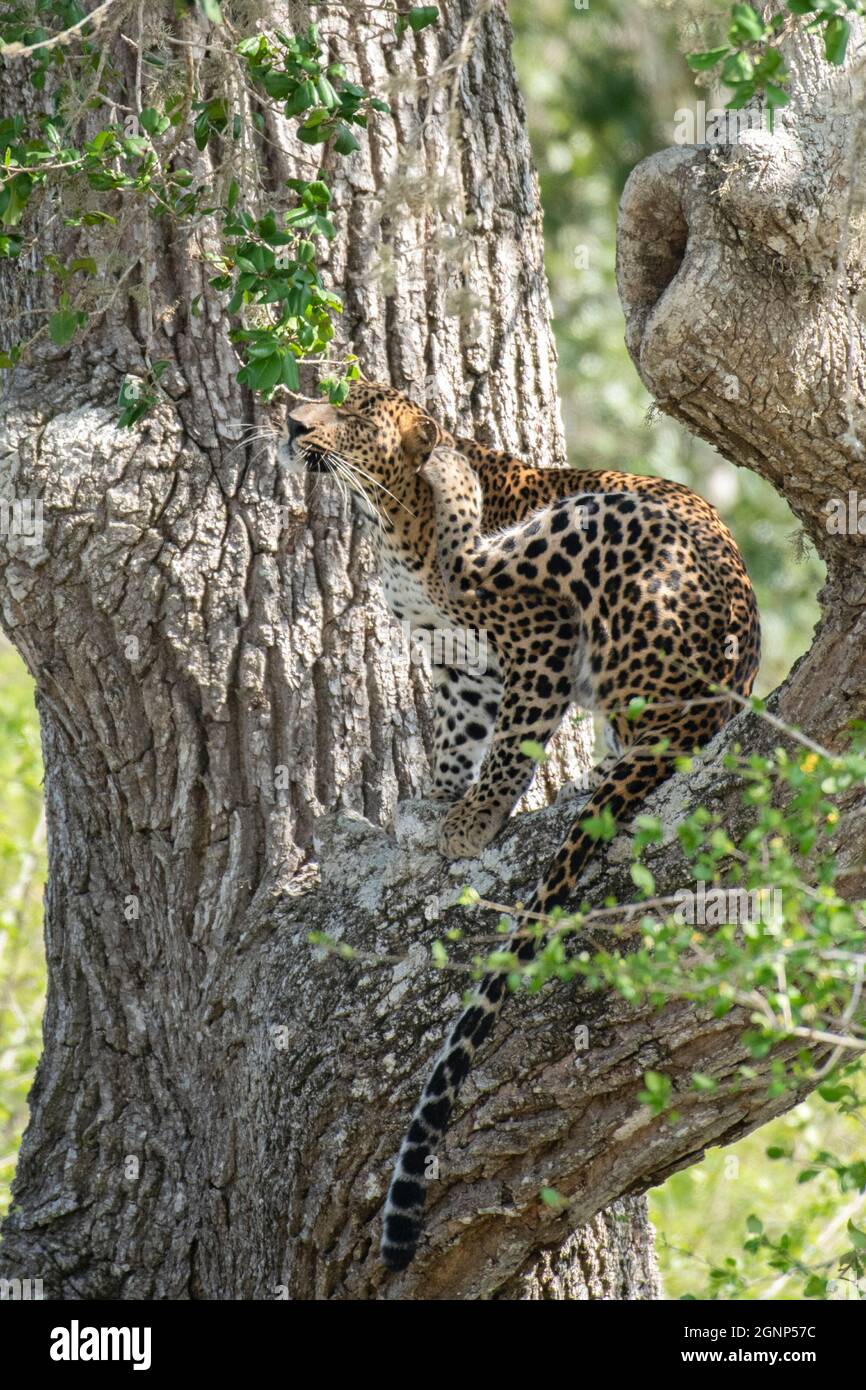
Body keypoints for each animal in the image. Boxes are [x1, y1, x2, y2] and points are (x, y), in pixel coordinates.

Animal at [283, 378, 756, 1273]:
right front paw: (438, 802)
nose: (293, 418)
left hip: (593, 532)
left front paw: (472, 820)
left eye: (356, 416)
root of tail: (712, 695)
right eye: (332, 393)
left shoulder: (534, 639)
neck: (386, 519)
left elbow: (509, 742)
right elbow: (458, 732)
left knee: (486, 551)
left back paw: (453, 474)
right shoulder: (462, 661)